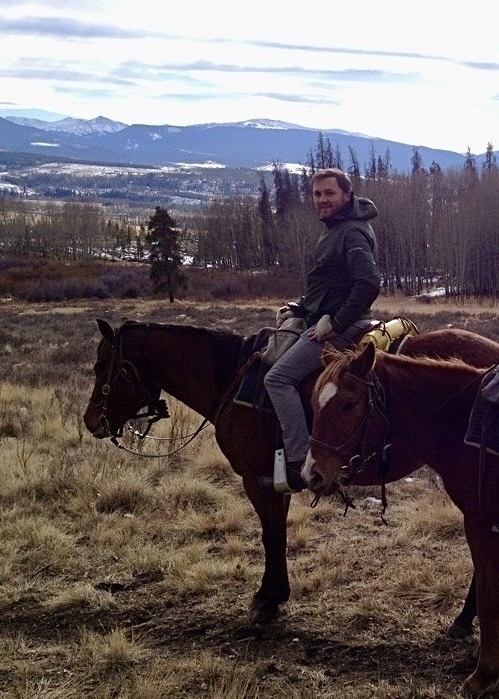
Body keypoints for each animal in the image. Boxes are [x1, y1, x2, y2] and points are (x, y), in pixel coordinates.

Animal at [83, 319, 499, 630]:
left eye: (102, 366)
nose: (90, 421)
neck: (231, 379)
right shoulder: (274, 482)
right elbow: (276, 535)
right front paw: (273, 594)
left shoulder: (257, 480)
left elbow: (271, 537)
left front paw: (268, 599)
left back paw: (465, 620)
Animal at [303, 342, 499, 698]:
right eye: (313, 402)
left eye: (349, 404)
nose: (312, 473)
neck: (461, 421)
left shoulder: (480, 523)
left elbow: (489, 595)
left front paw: (483, 675)